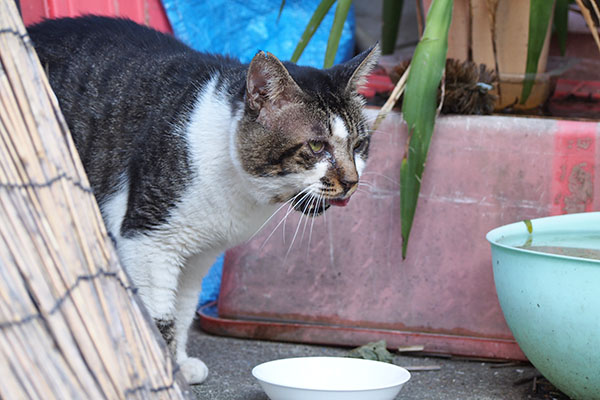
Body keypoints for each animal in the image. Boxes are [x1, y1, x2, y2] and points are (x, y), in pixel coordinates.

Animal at [28, 16, 380, 384]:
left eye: (359, 145)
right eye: (315, 146)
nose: (351, 182)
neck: (238, 190)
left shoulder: (200, 254)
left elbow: (183, 309)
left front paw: (181, 362)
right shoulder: (148, 242)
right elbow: (159, 316)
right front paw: (166, 373)